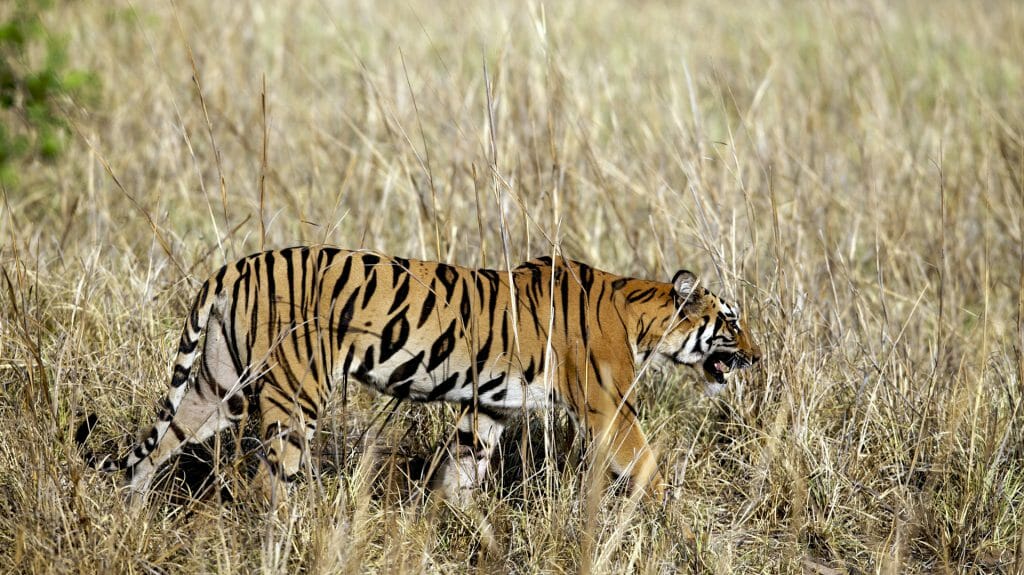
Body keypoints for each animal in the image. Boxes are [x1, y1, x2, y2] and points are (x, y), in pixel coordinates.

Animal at [77, 246, 761, 504]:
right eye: (731, 321)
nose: (757, 356)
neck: (642, 318)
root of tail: (235, 265)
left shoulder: (491, 407)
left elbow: (461, 470)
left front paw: (445, 521)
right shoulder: (608, 407)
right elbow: (646, 463)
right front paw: (666, 515)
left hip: (216, 386)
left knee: (153, 450)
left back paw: (130, 516)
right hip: (295, 396)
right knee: (270, 486)